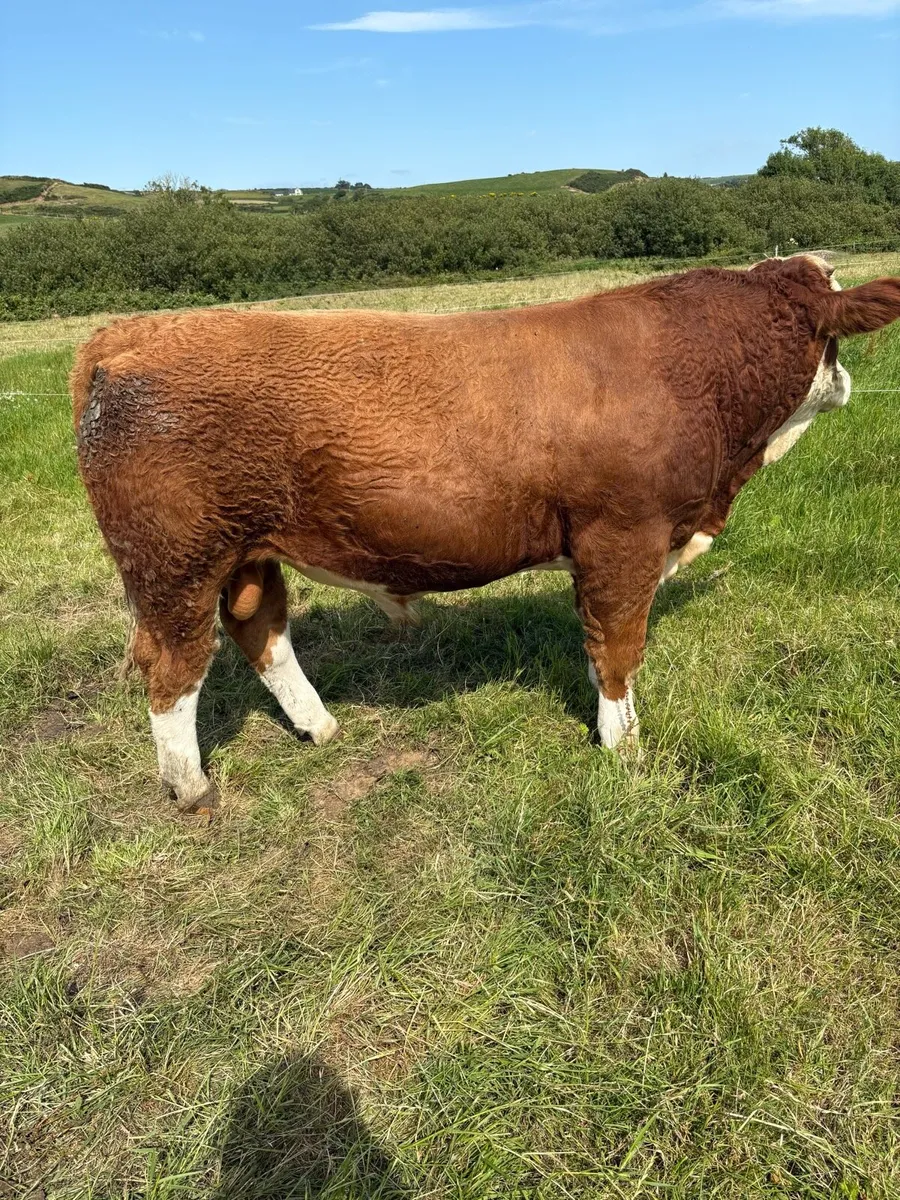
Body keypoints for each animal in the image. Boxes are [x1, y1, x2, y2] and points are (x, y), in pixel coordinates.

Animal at [71, 255, 900, 811]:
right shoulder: (625, 535)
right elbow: (620, 645)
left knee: (262, 632)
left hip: (248, 554)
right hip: (173, 563)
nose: (849, 384)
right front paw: (624, 745)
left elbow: (596, 640)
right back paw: (190, 786)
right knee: (173, 667)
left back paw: (320, 728)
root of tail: (130, 334)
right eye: (832, 336)